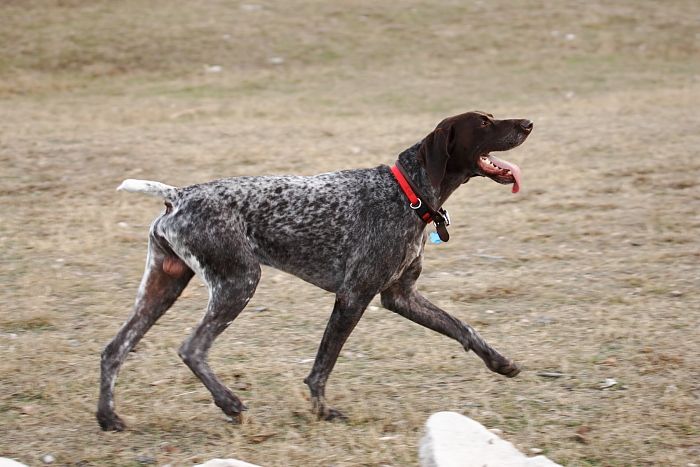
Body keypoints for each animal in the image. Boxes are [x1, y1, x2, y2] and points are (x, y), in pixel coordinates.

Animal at [95, 110, 532, 432]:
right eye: (484, 124)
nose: (528, 123)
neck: (407, 193)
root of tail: (178, 195)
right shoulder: (353, 296)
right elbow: (322, 367)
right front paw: (322, 411)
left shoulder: (400, 297)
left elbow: (461, 327)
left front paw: (499, 362)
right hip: (239, 281)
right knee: (192, 348)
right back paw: (229, 403)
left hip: (163, 287)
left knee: (114, 350)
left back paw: (108, 417)